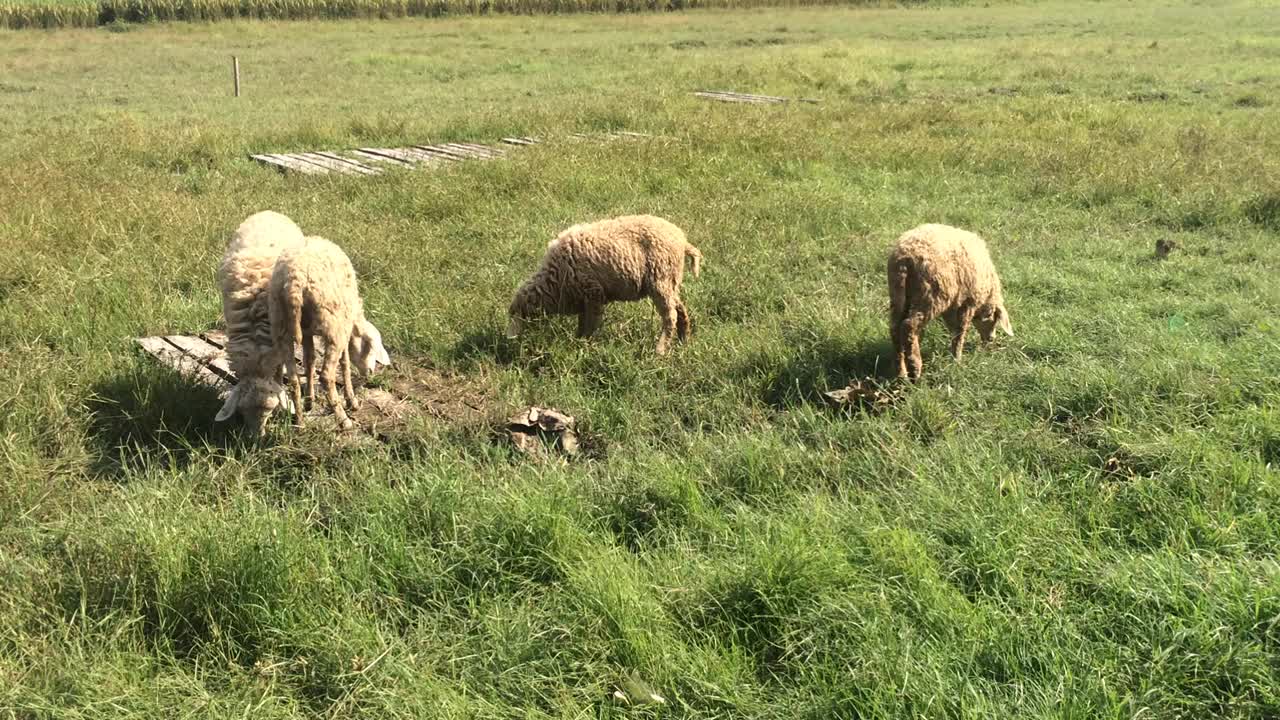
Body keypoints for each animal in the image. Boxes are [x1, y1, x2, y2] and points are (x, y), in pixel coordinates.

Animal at [267, 235, 386, 427]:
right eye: (370, 348)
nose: (370, 373)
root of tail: (295, 283)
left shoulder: (307, 332)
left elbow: (309, 361)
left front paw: (310, 400)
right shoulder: (343, 327)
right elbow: (345, 362)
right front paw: (351, 400)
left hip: (280, 325)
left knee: (293, 379)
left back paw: (300, 422)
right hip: (333, 327)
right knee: (326, 376)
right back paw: (343, 419)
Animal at [504, 212, 701, 353]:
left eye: (516, 315)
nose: (509, 340)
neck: (555, 281)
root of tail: (682, 240)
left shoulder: (593, 294)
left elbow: (591, 323)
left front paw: (584, 345)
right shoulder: (583, 299)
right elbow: (582, 322)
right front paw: (578, 340)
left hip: (660, 279)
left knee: (670, 316)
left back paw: (660, 350)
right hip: (671, 281)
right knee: (680, 309)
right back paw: (684, 340)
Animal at [885, 222, 1013, 381]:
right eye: (993, 318)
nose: (990, 340)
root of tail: (905, 258)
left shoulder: (953, 306)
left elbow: (954, 329)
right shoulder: (968, 302)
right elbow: (960, 331)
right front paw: (957, 359)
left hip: (898, 294)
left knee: (895, 328)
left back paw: (901, 372)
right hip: (931, 295)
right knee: (909, 326)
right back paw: (915, 368)